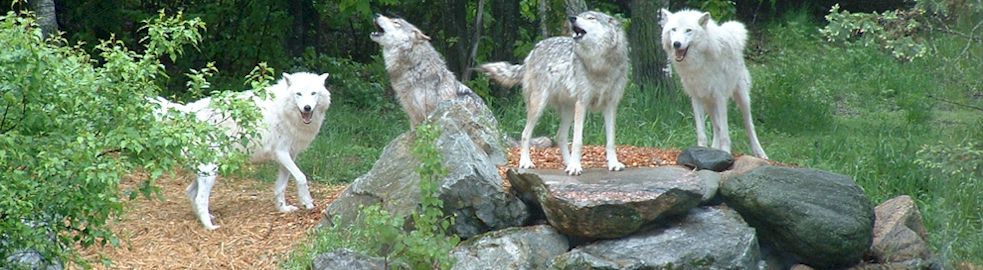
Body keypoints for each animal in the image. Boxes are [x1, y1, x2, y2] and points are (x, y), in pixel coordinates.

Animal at [152, 72, 332, 230]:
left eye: (313, 93)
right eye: (299, 94)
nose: (307, 108)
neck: (283, 110)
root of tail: (188, 111)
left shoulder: (289, 156)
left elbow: (281, 187)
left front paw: (283, 209)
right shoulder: (281, 153)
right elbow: (302, 178)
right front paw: (308, 202)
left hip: (207, 170)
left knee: (190, 193)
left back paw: (207, 218)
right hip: (210, 171)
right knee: (200, 199)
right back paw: (210, 227)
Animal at [478, 10, 632, 175]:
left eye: (591, 18)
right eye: (580, 15)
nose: (572, 18)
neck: (600, 66)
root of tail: (534, 50)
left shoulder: (610, 105)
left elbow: (611, 140)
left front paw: (613, 164)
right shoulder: (582, 103)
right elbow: (578, 141)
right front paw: (575, 167)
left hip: (569, 110)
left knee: (560, 136)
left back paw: (568, 163)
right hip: (539, 106)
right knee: (525, 134)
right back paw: (527, 162)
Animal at [660, 9, 768, 159]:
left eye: (688, 30)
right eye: (673, 29)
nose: (676, 44)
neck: (699, 63)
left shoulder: (720, 97)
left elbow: (725, 131)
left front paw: (726, 151)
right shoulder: (696, 98)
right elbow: (702, 131)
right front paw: (701, 150)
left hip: (742, 98)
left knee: (749, 125)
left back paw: (760, 153)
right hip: (708, 103)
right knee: (716, 126)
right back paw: (714, 149)